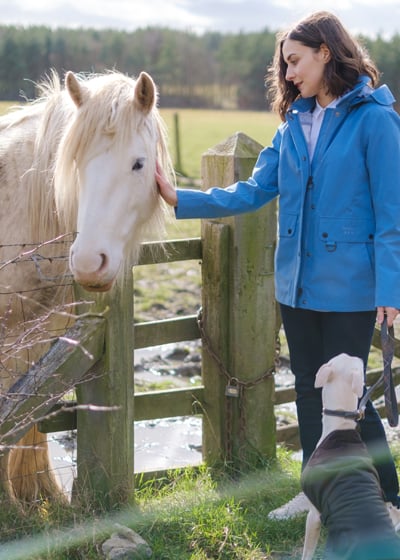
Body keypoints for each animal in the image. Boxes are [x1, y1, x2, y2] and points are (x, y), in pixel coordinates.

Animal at [0, 69, 175, 504]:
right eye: (75, 162)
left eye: (138, 164)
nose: (87, 262)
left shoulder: (39, 334)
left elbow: (25, 417)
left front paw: (34, 499)